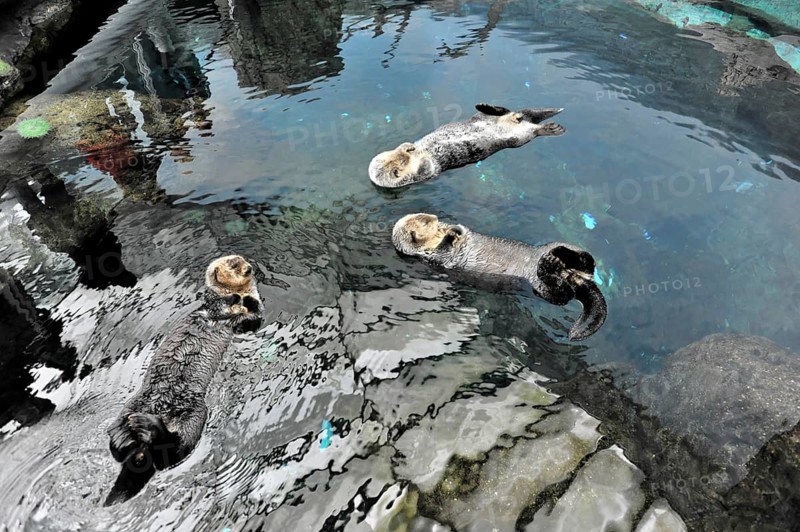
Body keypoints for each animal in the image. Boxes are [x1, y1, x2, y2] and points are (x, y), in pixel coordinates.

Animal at [104, 255, 262, 506]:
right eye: (233, 265)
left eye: (244, 261)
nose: (249, 268)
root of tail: (142, 447)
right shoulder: (211, 301)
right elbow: (219, 302)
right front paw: (234, 298)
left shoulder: (248, 318)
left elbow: (254, 314)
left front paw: (246, 299)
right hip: (133, 405)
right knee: (125, 447)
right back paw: (124, 436)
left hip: (195, 413)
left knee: (174, 450)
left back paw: (147, 428)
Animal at [369, 103, 565, 188]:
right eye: (401, 163)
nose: (410, 152)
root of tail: (520, 120)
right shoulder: (423, 174)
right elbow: (426, 168)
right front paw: (413, 153)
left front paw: (407, 146)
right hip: (518, 139)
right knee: (533, 130)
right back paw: (552, 128)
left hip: (483, 117)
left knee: (508, 111)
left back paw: (487, 106)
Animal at [392, 214, 607, 340]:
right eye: (425, 222)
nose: (436, 217)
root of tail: (574, 277)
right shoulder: (435, 258)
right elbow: (444, 250)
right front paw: (450, 234)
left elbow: (462, 232)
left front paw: (454, 228)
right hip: (542, 289)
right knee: (562, 293)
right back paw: (550, 263)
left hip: (559, 249)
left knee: (586, 259)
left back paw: (558, 255)